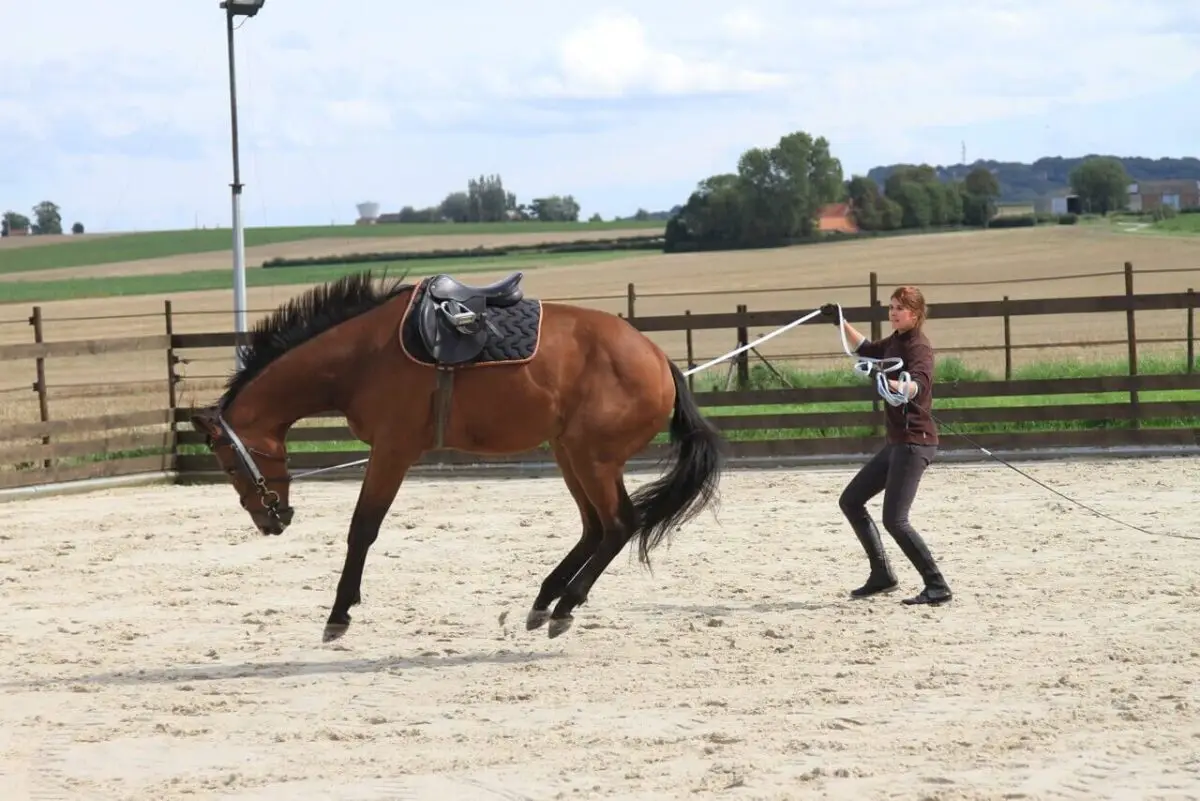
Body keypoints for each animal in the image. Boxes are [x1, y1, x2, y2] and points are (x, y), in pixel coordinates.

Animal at [188, 269, 727, 642]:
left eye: (230, 463)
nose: (270, 522)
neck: (361, 356)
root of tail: (658, 359)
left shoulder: (393, 449)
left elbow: (362, 528)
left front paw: (339, 615)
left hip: (591, 458)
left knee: (618, 524)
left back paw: (565, 606)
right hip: (570, 453)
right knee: (595, 527)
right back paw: (544, 600)